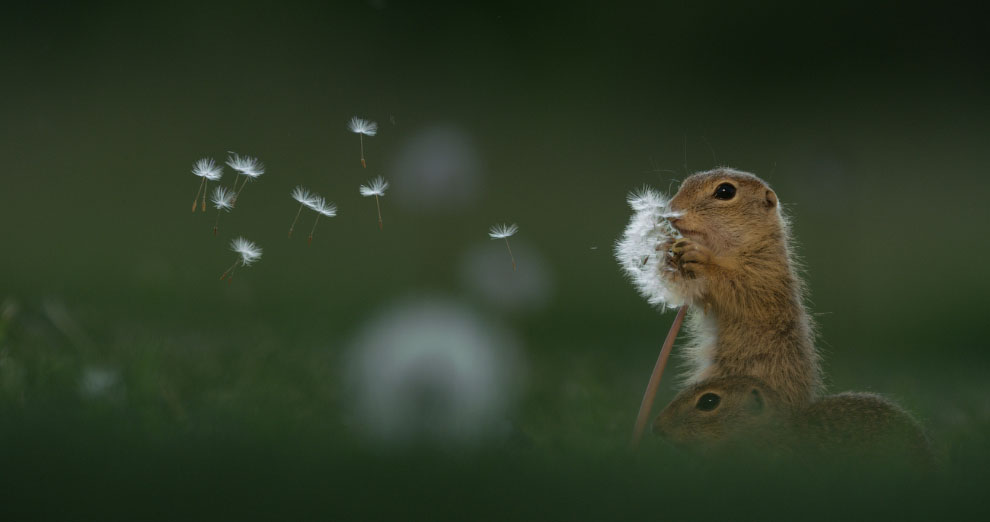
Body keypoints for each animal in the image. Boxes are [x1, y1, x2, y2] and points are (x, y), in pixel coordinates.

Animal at [668, 169, 820, 404]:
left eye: (725, 191)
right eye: (684, 183)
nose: (671, 210)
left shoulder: (764, 275)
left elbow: (737, 287)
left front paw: (701, 260)